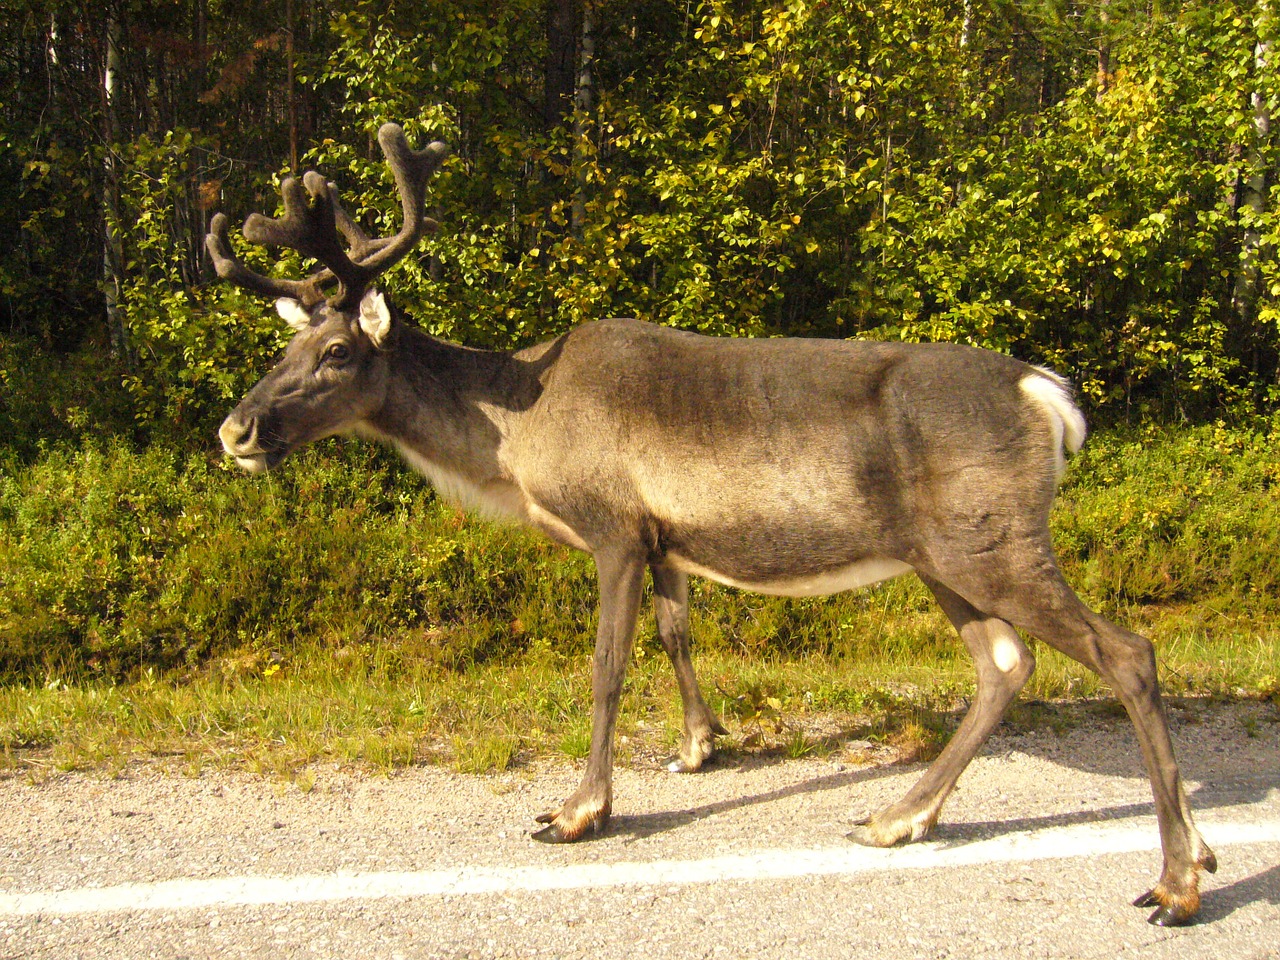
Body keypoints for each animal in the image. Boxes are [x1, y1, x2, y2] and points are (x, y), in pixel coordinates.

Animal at [209, 124, 1218, 926]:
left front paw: (578, 810)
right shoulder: (667, 540)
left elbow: (607, 668)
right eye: (286, 343)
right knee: (1006, 665)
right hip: (945, 554)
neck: (512, 442)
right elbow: (676, 632)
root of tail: (1047, 396)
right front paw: (700, 746)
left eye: (337, 352)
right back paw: (901, 816)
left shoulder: (614, 530)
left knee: (1127, 651)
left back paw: (1178, 881)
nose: (236, 430)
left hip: (992, 540)